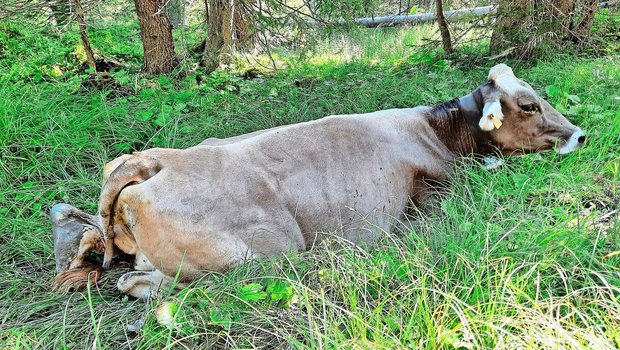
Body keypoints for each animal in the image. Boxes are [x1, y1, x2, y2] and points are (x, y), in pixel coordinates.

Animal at [50, 63, 584, 298]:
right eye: (529, 104)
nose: (579, 134)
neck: (433, 130)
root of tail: (153, 161)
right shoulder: (433, 190)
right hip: (269, 253)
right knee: (140, 282)